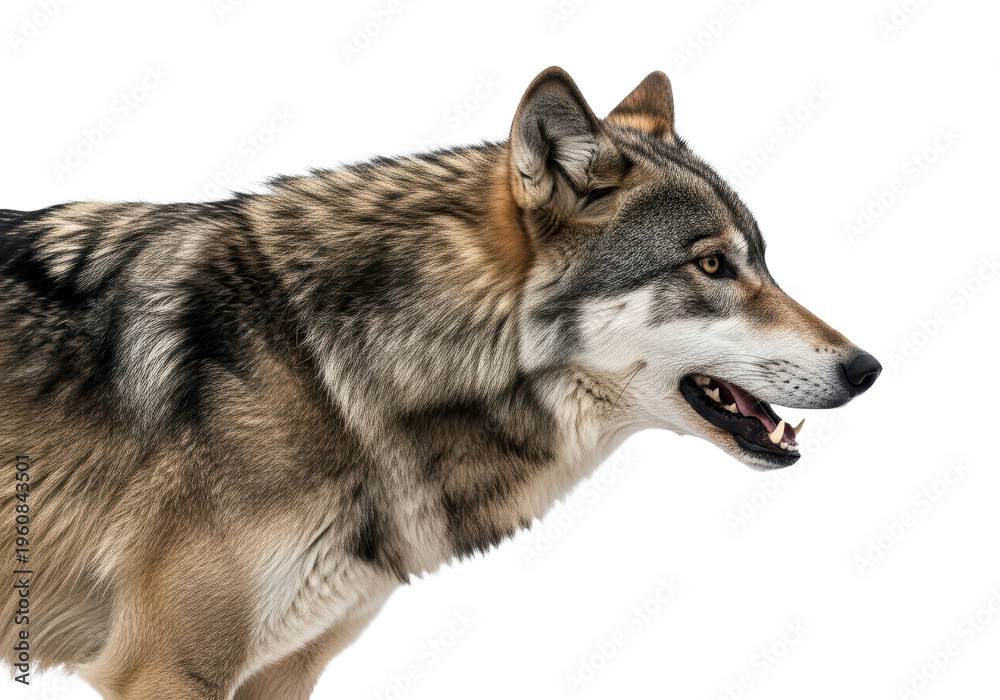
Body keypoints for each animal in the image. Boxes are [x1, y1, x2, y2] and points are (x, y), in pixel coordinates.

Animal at [0, 68, 880, 698]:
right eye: (712, 264)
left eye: (762, 260)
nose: (867, 369)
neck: (327, 370)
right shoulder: (166, 669)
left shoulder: (284, 671)